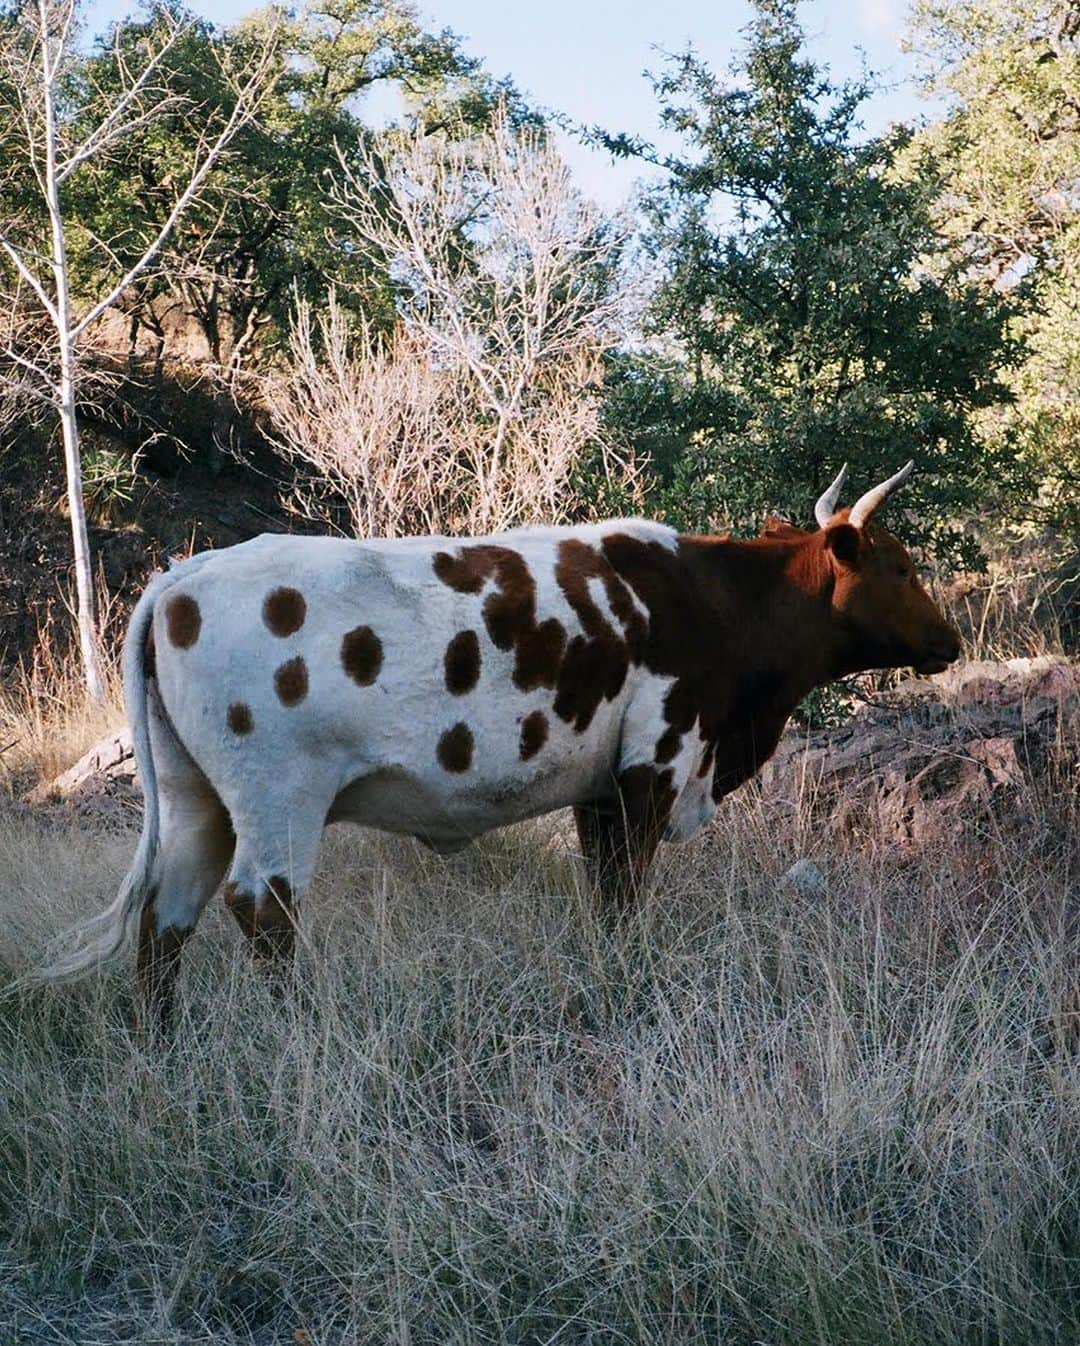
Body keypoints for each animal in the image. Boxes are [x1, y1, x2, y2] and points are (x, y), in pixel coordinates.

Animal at [35, 457, 958, 1022]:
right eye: (903, 566)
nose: (949, 640)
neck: (718, 600)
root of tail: (183, 576)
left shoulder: (599, 791)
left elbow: (605, 898)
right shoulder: (654, 766)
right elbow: (627, 895)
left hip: (196, 798)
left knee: (168, 915)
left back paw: (162, 1041)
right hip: (276, 796)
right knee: (262, 907)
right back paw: (299, 1025)